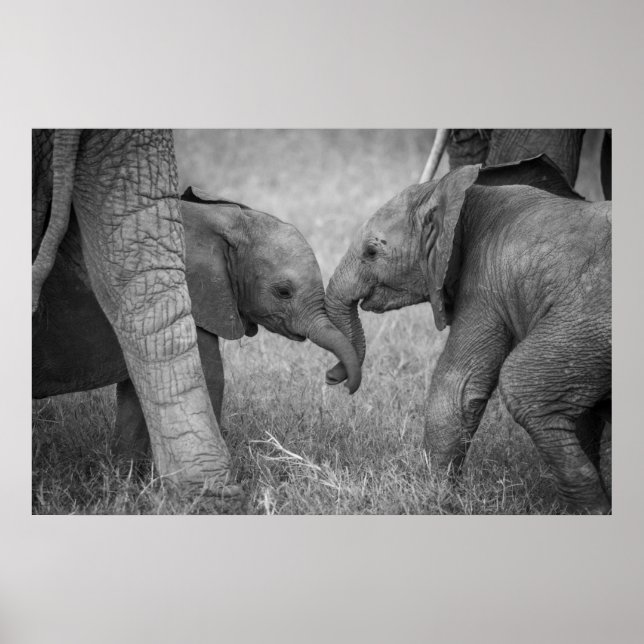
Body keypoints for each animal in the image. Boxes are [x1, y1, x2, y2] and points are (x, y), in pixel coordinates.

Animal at [33, 185, 361, 466]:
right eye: (283, 292)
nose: (333, 378)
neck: (222, 219)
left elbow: (136, 393)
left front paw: (126, 481)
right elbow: (208, 379)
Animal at [324, 155, 611, 514]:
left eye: (371, 252)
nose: (332, 378)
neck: (454, 193)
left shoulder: (484, 284)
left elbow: (457, 385)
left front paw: (432, 495)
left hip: (594, 316)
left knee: (523, 386)